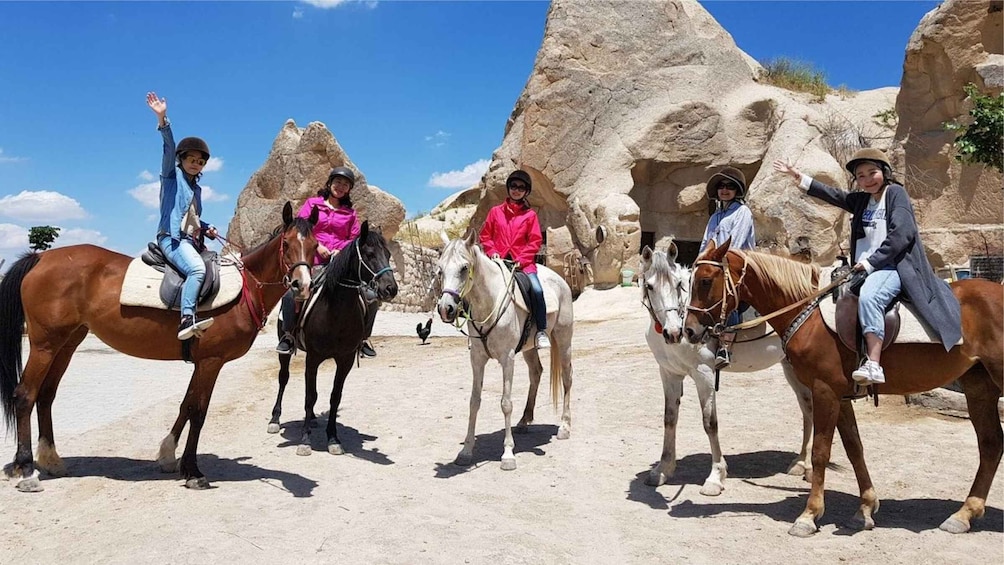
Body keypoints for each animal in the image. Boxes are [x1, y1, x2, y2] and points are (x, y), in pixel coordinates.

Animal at [0, 202, 317, 491]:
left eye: (315, 246)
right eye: (286, 244)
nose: (302, 286)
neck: (245, 290)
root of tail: (39, 258)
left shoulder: (202, 362)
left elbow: (187, 405)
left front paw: (169, 455)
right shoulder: (212, 361)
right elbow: (199, 411)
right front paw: (193, 471)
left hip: (66, 344)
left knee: (46, 395)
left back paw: (50, 459)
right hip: (45, 345)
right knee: (25, 395)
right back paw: (26, 469)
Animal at [267, 220, 399, 455]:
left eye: (388, 254)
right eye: (369, 254)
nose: (390, 288)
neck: (335, 312)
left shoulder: (345, 360)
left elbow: (334, 397)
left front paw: (333, 439)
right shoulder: (313, 358)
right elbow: (310, 397)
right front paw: (305, 441)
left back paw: (313, 420)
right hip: (285, 348)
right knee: (283, 378)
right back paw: (275, 419)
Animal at [433, 230, 574, 473]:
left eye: (464, 268)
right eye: (440, 269)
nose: (445, 309)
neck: (488, 302)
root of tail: (561, 281)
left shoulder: (507, 359)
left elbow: (506, 404)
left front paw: (508, 454)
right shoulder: (477, 359)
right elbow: (474, 401)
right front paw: (466, 451)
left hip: (564, 341)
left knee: (567, 378)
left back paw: (564, 426)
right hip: (528, 349)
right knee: (536, 373)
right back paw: (524, 421)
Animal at [642, 242, 815, 495]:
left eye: (678, 284)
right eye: (649, 286)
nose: (674, 332)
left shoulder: (704, 374)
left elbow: (710, 423)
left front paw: (715, 476)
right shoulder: (669, 374)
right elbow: (669, 419)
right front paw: (663, 469)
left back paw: (809, 467)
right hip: (791, 366)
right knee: (807, 408)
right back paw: (801, 463)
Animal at [682, 239, 1003, 537]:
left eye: (706, 280)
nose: (689, 330)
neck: (808, 313)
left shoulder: (824, 390)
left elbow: (821, 452)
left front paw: (809, 515)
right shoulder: (840, 395)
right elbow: (854, 448)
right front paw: (865, 509)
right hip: (979, 386)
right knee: (990, 444)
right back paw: (963, 514)